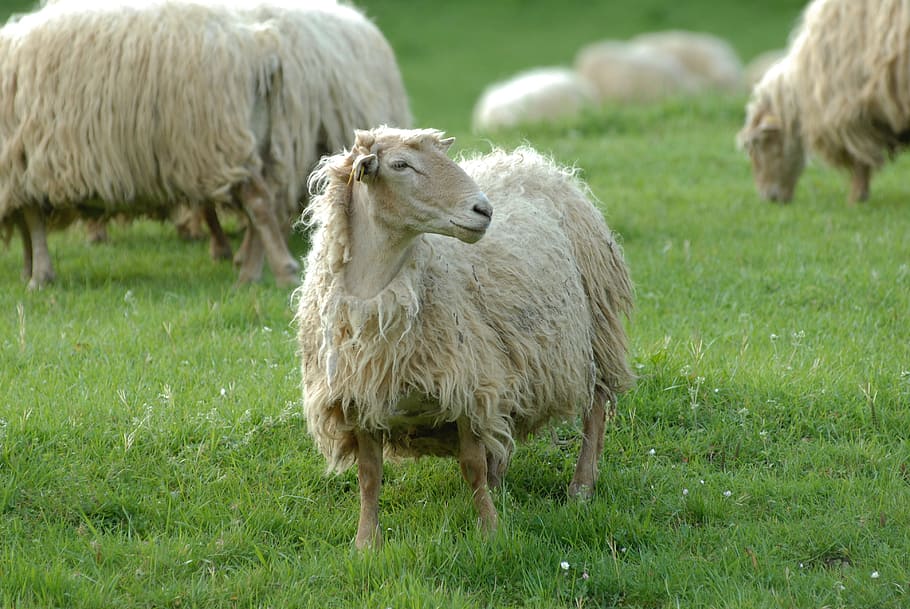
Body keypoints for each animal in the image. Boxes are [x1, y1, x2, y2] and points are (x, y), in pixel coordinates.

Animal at [0, 0, 301, 288]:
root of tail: (261, 49)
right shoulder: (17, 174)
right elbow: (26, 226)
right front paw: (28, 271)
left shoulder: (21, 168)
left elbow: (32, 223)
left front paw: (39, 277)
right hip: (252, 141)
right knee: (264, 203)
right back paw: (252, 273)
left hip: (219, 142)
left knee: (259, 202)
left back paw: (281, 273)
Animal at [295, 126, 634, 548]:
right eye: (400, 165)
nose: (483, 210)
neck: (374, 296)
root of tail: (531, 161)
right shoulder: (358, 396)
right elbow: (369, 477)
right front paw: (366, 544)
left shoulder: (468, 386)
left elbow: (471, 466)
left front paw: (490, 531)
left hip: (594, 331)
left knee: (596, 407)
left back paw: (582, 487)